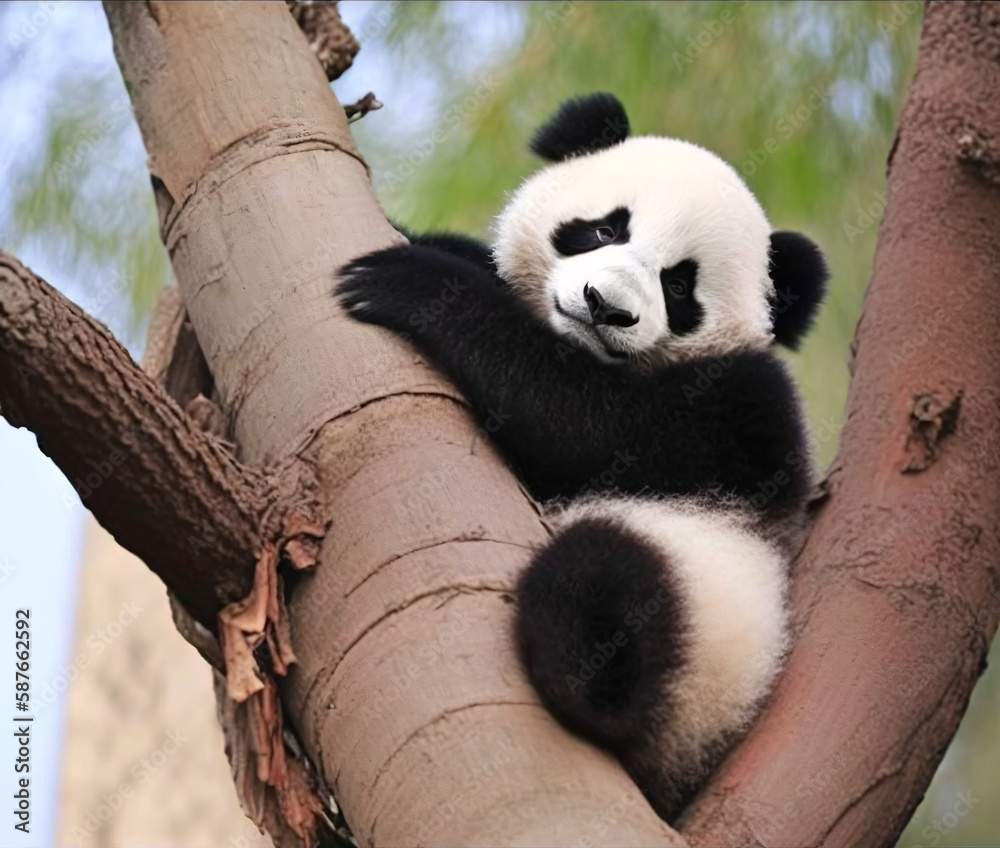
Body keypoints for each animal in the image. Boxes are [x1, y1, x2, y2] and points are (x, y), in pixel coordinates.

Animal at [335, 92, 827, 821]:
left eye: (679, 287)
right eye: (603, 230)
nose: (606, 307)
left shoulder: (741, 411)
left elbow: (580, 422)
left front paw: (408, 283)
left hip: (707, 645)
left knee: (603, 576)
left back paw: (578, 674)